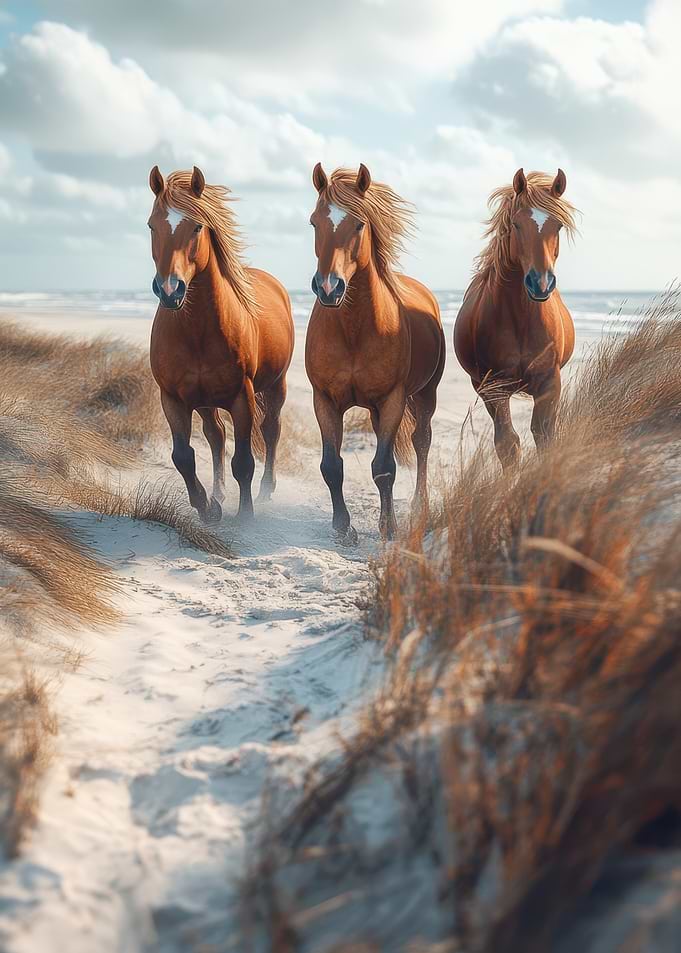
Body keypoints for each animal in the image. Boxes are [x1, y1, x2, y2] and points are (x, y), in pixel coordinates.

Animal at [147, 165, 294, 522]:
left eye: (197, 226)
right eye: (152, 226)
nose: (170, 290)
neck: (198, 333)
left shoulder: (242, 397)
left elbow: (243, 461)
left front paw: (245, 515)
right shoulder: (172, 399)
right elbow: (183, 456)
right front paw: (206, 506)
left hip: (276, 386)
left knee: (271, 430)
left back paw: (265, 490)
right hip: (203, 400)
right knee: (216, 436)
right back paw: (218, 493)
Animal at [305, 163, 445, 542]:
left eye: (359, 224)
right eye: (313, 222)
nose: (329, 287)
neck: (354, 331)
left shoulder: (392, 399)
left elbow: (384, 467)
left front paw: (388, 528)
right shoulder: (324, 400)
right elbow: (331, 466)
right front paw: (343, 527)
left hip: (424, 395)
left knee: (421, 443)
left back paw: (418, 509)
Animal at [454, 168, 577, 469]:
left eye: (558, 225)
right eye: (516, 224)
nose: (540, 283)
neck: (522, 320)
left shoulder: (550, 383)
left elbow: (544, 436)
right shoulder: (495, 389)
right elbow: (508, 445)